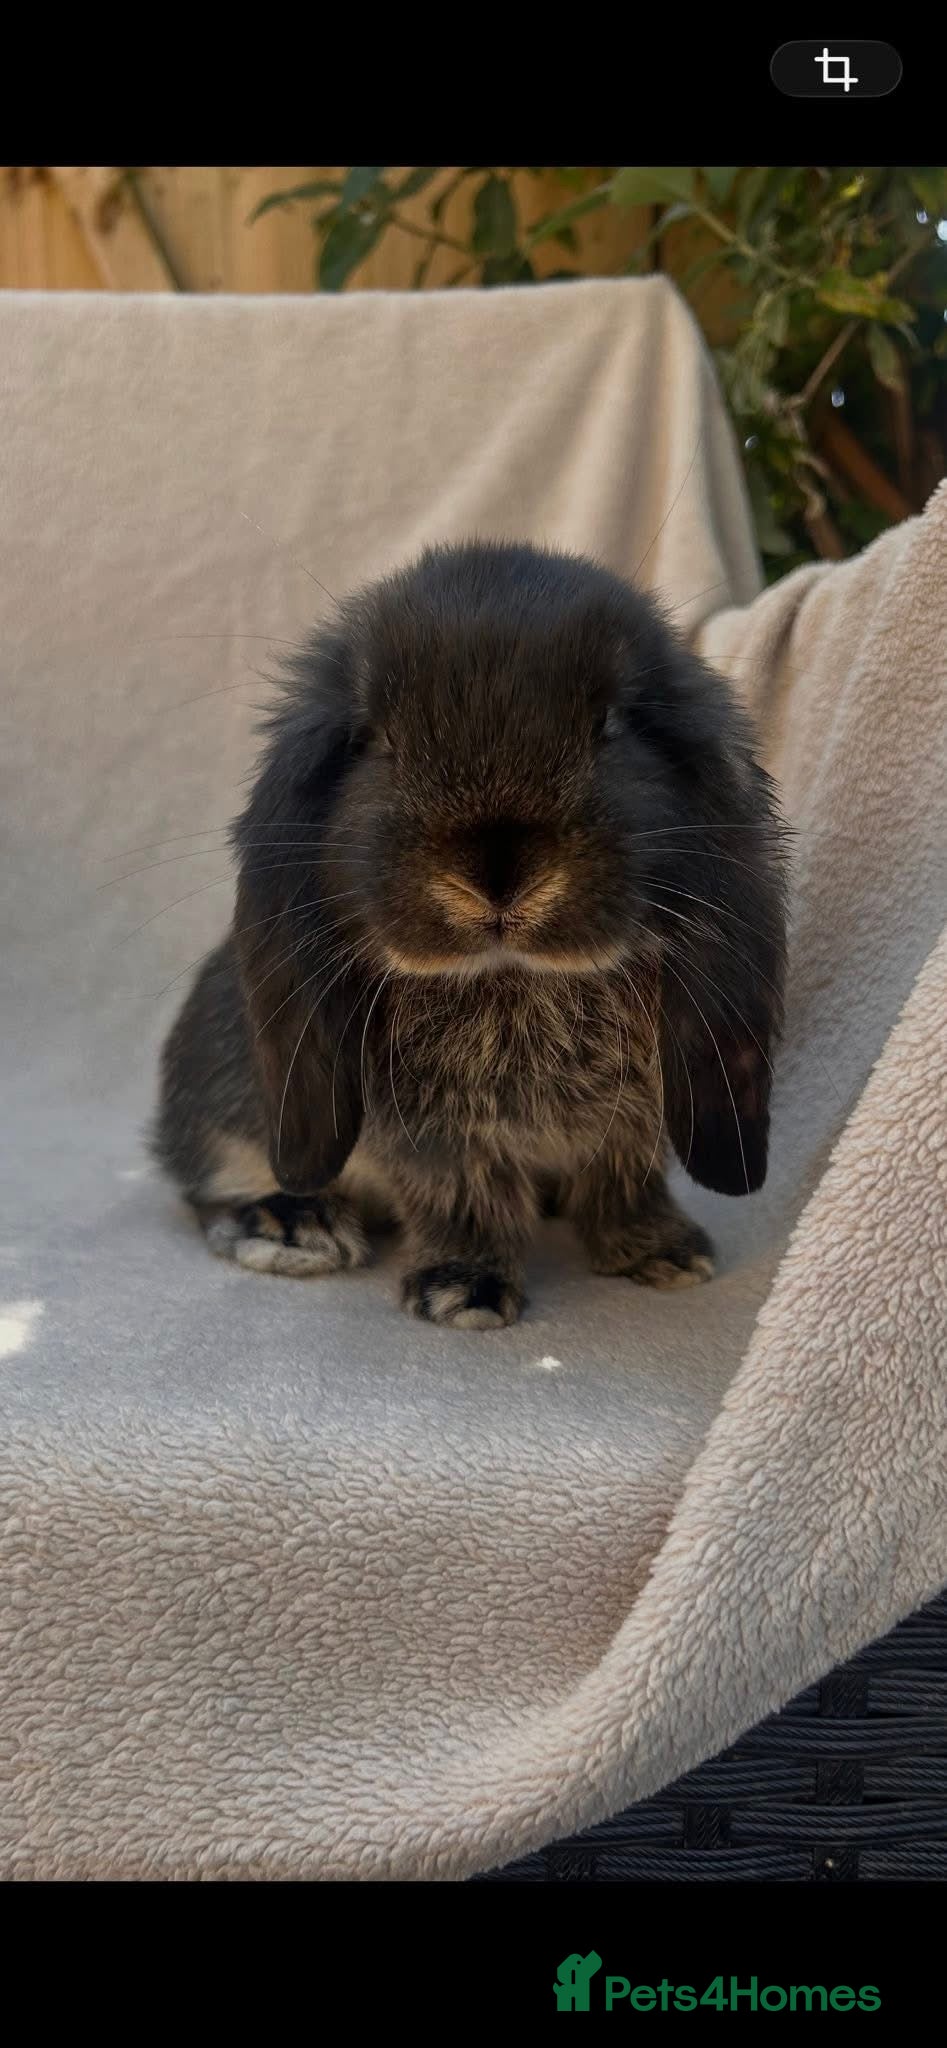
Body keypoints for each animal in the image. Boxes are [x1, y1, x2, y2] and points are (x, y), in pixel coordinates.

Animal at [152, 538, 789, 1330]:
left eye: (614, 724)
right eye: (374, 740)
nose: (496, 870)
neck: (513, 978)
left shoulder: (638, 1113)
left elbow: (626, 1180)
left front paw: (661, 1252)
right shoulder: (428, 1131)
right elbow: (461, 1197)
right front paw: (463, 1292)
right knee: (208, 1187)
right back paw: (294, 1227)